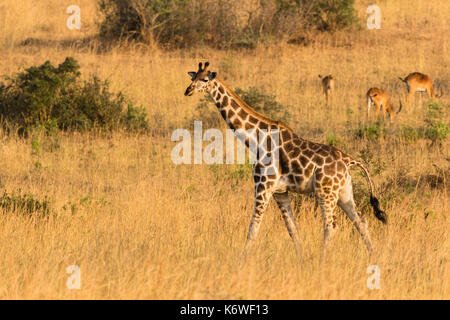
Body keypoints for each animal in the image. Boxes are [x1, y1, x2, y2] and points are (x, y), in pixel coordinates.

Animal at [184, 62, 386, 262]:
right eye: (193, 77)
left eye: (204, 79)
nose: (188, 90)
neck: (256, 139)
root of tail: (348, 160)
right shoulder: (280, 192)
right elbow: (292, 229)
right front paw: (301, 259)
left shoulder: (263, 187)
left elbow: (253, 227)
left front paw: (240, 262)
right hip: (344, 192)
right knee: (360, 220)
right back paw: (373, 257)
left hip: (326, 192)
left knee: (331, 225)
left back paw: (322, 261)